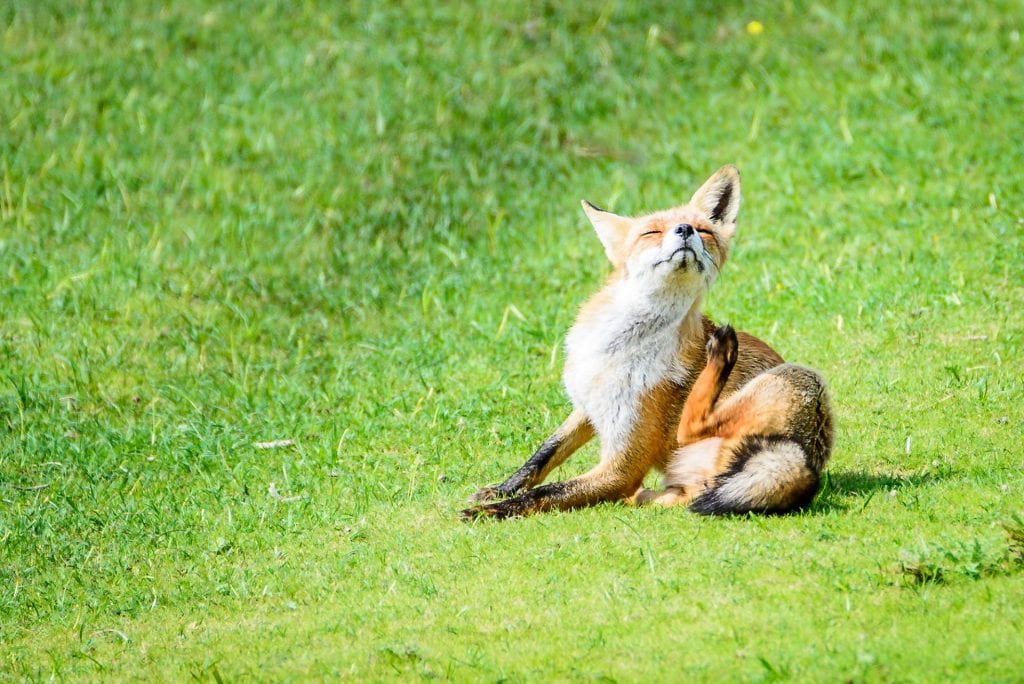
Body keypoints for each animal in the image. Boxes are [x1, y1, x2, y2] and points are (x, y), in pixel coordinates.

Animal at [464, 165, 831, 518]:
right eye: (651, 232)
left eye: (705, 231)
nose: (685, 229)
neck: (616, 347)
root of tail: (809, 465)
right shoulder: (590, 406)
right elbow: (543, 454)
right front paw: (499, 490)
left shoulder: (623, 466)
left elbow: (548, 492)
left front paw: (492, 511)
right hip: (678, 487)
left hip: (800, 377)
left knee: (690, 427)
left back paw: (722, 352)